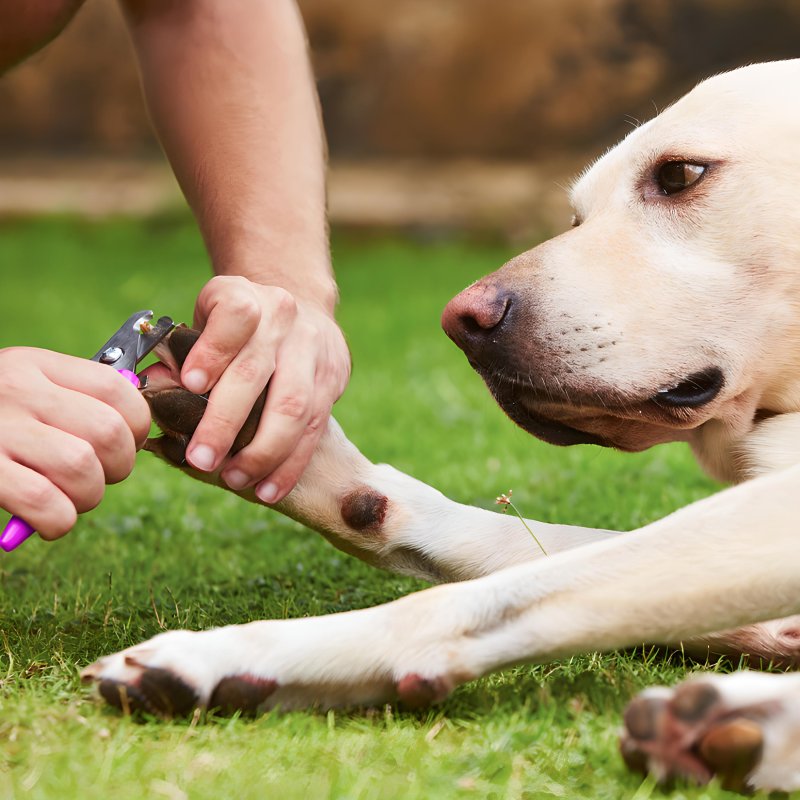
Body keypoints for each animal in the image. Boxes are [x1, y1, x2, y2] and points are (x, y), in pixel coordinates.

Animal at [81, 59, 800, 792]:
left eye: (680, 174)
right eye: (577, 215)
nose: (464, 321)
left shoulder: (769, 515)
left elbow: (488, 598)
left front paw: (233, 652)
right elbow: (515, 550)